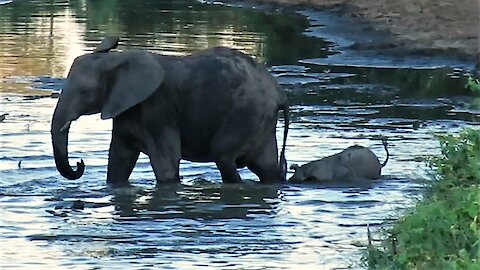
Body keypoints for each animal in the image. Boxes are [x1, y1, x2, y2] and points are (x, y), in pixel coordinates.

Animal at [49, 37, 288, 187]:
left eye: (84, 92)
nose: (80, 163)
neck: (118, 59)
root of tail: (279, 93)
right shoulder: (125, 109)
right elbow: (119, 160)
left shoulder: (158, 110)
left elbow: (165, 166)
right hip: (261, 119)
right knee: (267, 168)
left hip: (248, 113)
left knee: (223, 155)